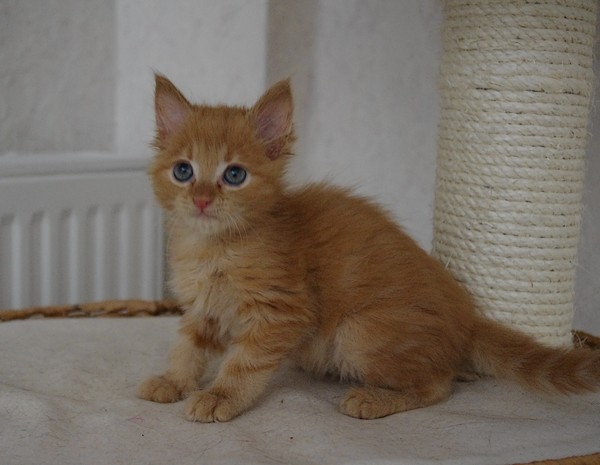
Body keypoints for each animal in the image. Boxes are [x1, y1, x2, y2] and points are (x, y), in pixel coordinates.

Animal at [137, 74, 600, 422]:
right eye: (184, 171)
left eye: (234, 175)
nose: (201, 200)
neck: (212, 246)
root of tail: (466, 317)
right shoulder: (204, 309)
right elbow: (189, 347)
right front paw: (174, 380)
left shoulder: (281, 311)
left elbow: (244, 363)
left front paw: (221, 396)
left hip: (358, 332)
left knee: (437, 385)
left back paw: (375, 398)